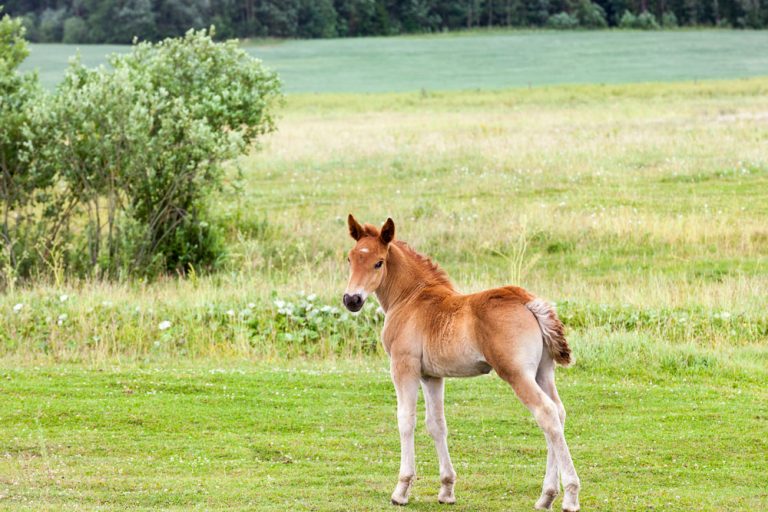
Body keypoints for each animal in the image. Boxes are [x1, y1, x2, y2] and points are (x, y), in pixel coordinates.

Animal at [342, 215, 580, 511]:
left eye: (379, 262)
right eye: (350, 258)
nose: (352, 299)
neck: (410, 298)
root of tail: (528, 301)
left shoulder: (404, 366)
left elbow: (406, 420)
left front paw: (401, 489)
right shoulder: (431, 376)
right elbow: (437, 424)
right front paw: (446, 490)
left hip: (517, 373)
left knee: (546, 413)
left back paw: (569, 495)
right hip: (543, 372)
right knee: (558, 412)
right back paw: (546, 495)